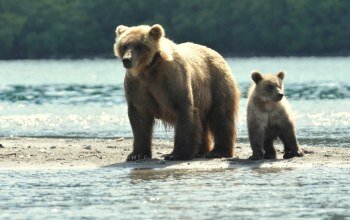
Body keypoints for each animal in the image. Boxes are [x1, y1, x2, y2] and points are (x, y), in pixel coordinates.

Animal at [113, 24, 239, 161]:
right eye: (124, 45)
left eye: (139, 46)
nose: (127, 60)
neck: (148, 70)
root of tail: (217, 54)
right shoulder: (137, 86)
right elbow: (139, 118)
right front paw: (136, 154)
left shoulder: (172, 81)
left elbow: (183, 112)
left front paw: (176, 154)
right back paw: (201, 150)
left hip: (217, 84)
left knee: (221, 117)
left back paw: (218, 151)